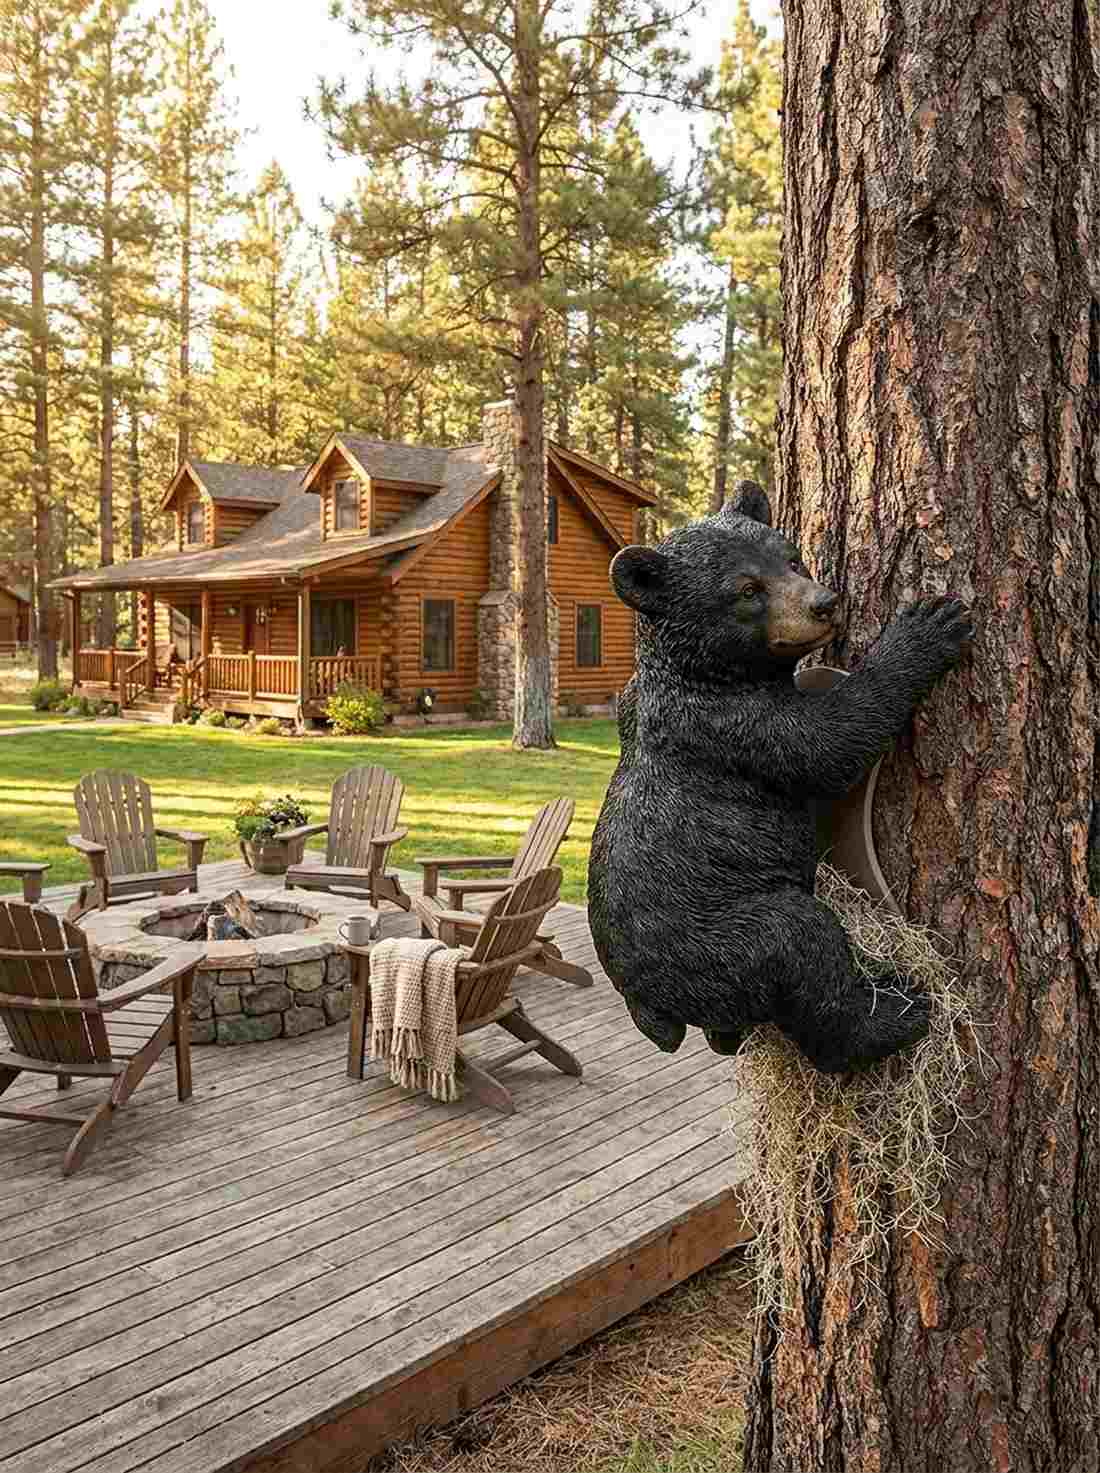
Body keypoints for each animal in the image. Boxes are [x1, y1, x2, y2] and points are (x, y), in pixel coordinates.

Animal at [587, 482, 973, 1075]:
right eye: (748, 590)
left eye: (791, 558)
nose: (824, 602)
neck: (704, 671)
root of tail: (647, 1005)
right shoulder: (731, 726)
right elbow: (831, 742)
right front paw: (928, 628)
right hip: (724, 942)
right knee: (803, 949)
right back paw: (897, 1013)